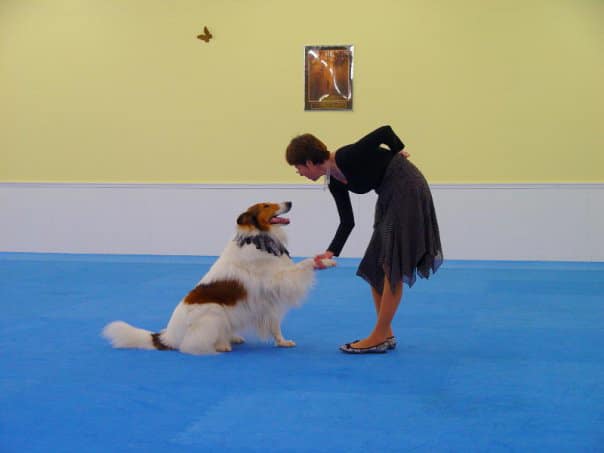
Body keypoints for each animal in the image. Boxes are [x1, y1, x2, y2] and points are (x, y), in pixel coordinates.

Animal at [101, 200, 332, 354]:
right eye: (267, 206)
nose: (289, 202)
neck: (258, 237)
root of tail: (168, 335)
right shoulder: (278, 280)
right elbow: (302, 266)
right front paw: (322, 261)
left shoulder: (268, 300)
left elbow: (275, 325)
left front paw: (282, 342)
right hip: (214, 311)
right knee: (191, 345)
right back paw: (221, 345)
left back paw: (232, 338)